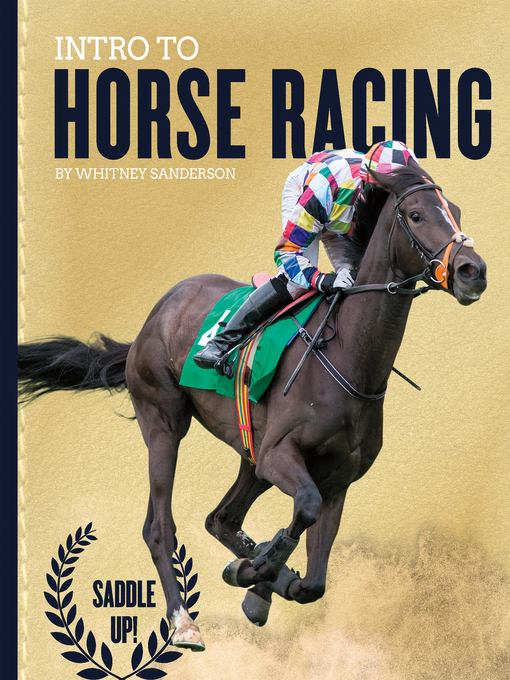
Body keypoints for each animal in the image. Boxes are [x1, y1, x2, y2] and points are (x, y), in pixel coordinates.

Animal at [18, 162, 487, 652]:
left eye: (455, 211)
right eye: (415, 214)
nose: (473, 270)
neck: (350, 361)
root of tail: (158, 311)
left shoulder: (338, 479)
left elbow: (314, 581)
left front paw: (260, 578)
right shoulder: (281, 455)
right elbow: (304, 506)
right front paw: (257, 569)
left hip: (250, 454)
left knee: (220, 519)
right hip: (165, 424)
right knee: (159, 527)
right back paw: (184, 620)